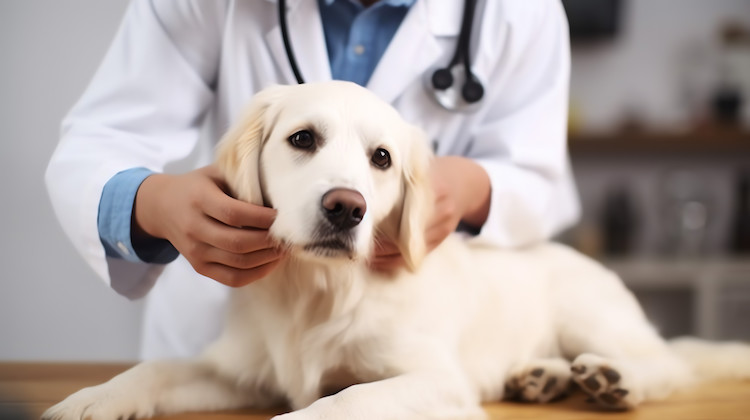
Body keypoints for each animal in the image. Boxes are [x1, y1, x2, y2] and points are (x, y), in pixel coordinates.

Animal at [42, 80, 750, 418]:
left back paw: (611, 378)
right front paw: (88, 400)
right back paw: (543, 377)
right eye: (302, 139)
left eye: (381, 159)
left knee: (668, 365)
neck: (318, 292)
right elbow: (154, 371)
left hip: (590, 314)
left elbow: (344, 400)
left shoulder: (436, 379)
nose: (346, 208)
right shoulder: (241, 368)